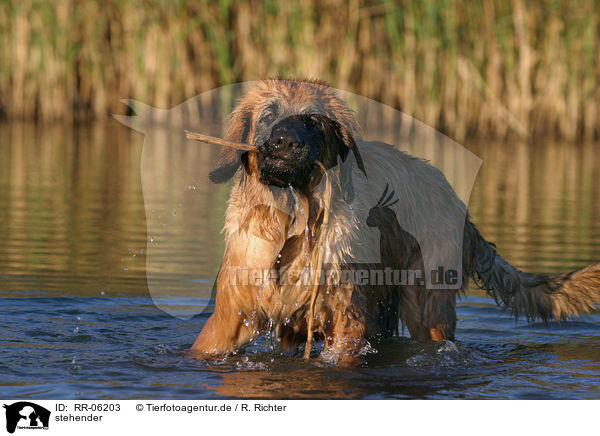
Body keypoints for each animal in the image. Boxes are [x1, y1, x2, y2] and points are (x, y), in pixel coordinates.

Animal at [191, 78, 600, 364]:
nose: (285, 143)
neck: (295, 223)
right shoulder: (231, 317)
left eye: (312, 121)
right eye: (269, 116)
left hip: (424, 305)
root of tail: (457, 202)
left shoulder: (347, 318)